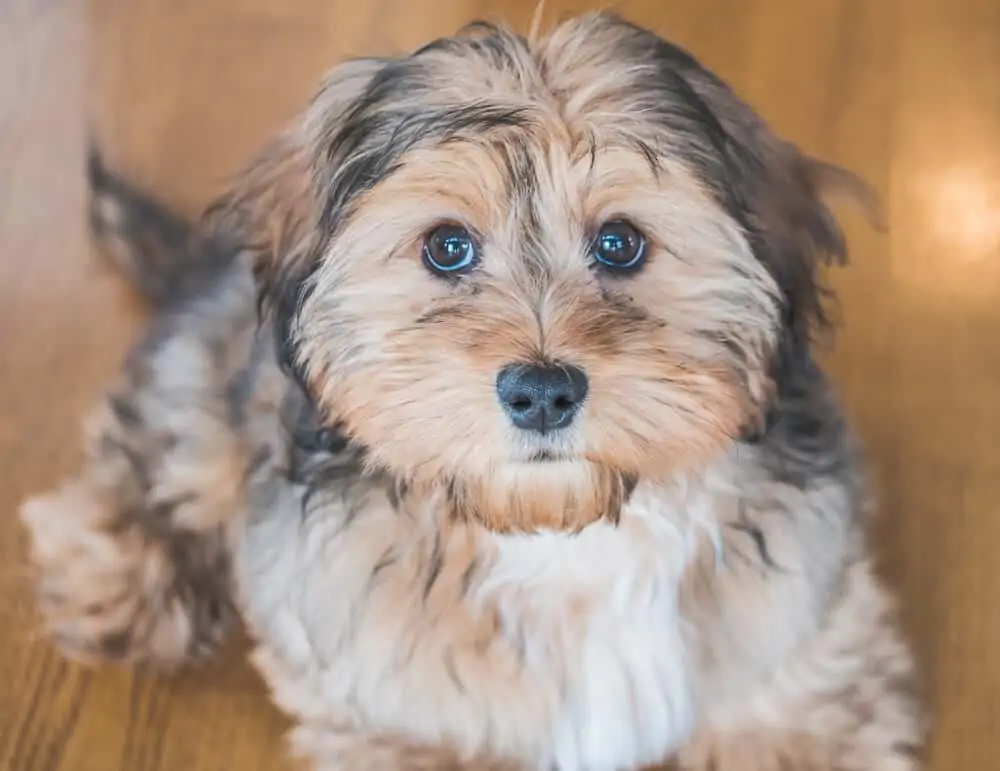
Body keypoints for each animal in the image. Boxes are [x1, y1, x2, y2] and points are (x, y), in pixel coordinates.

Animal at [19, 12, 924, 771]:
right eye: (447, 247)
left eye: (621, 242)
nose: (542, 390)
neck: (559, 537)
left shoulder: (798, 634)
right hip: (209, 380)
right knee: (162, 439)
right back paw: (124, 575)